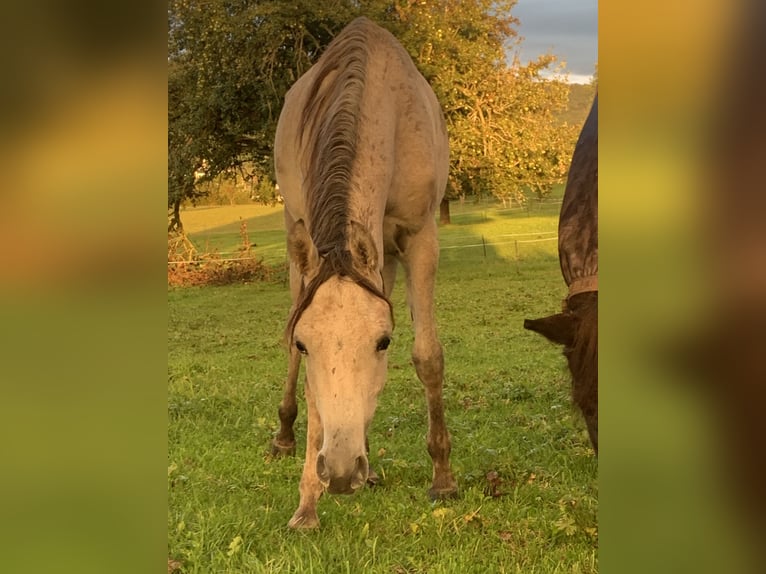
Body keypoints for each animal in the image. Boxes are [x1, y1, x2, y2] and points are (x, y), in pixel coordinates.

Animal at [272, 16, 460, 532]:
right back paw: (287, 435)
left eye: (382, 341)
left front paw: (443, 478)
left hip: (386, 255)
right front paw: (307, 504)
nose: (338, 470)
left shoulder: (420, 237)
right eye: (306, 344)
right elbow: (309, 378)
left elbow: (427, 357)